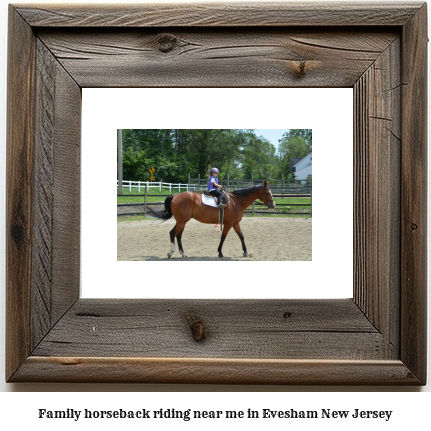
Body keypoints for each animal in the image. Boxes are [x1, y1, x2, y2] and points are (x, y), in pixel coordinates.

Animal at [145, 181, 274, 258]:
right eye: (268, 192)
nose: (273, 205)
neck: (235, 201)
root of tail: (175, 196)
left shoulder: (235, 223)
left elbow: (241, 236)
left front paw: (245, 252)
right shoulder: (228, 224)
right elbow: (223, 237)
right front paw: (220, 252)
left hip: (182, 222)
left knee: (178, 235)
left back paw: (183, 253)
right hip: (181, 222)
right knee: (173, 233)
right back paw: (171, 252)